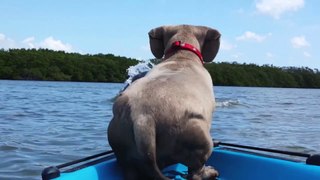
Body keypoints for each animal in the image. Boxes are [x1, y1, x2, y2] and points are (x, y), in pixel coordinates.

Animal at [107, 24, 220, 179]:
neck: (182, 55)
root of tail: (143, 118)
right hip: (200, 139)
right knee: (195, 172)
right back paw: (209, 172)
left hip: (120, 143)